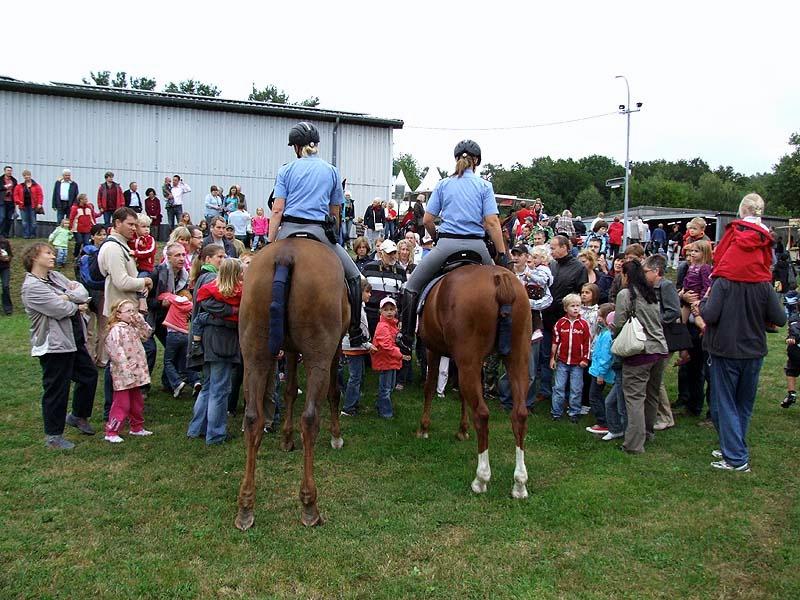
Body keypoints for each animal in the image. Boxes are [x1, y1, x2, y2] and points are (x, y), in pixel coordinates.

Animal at [234, 239, 346, 528]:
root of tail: (286, 254)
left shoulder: (292, 350)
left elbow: (289, 390)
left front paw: (286, 437)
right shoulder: (333, 350)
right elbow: (334, 393)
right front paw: (336, 436)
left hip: (255, 353)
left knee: (253, 418)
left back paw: (246, 506)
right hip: (319, 354)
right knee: (310, 419)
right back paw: (309, 505)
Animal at [418, 264, 532, 500]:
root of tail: (500, 278)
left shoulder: (434, 350)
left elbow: (429, 386)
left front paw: (424, 428)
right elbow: (461, 394)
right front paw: (462, 429)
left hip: (468, 359)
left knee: (482, 414)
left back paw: (481, 478)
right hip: (517, 358)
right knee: (519, 414)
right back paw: (519, 483)